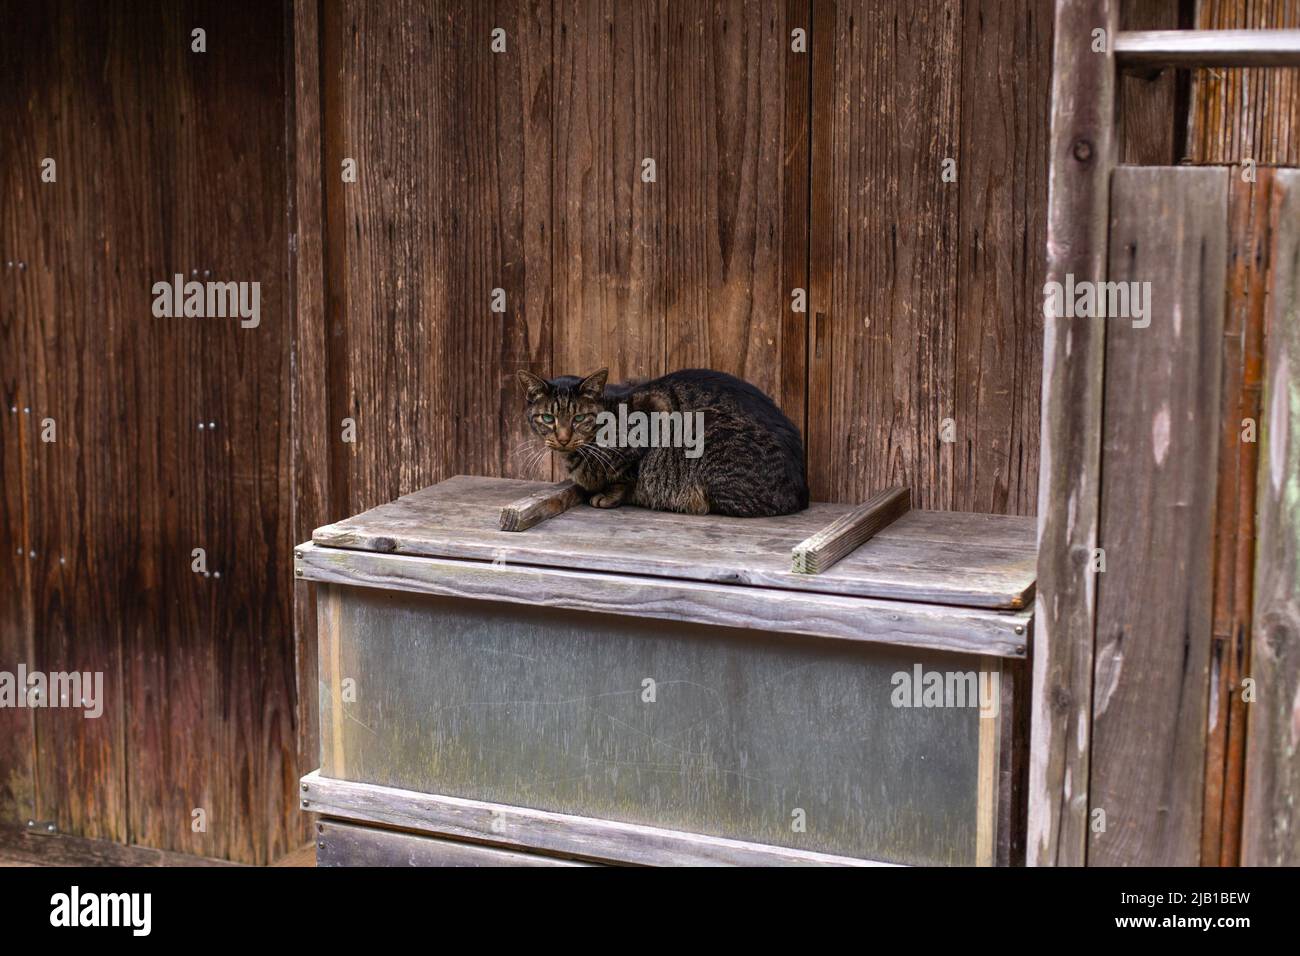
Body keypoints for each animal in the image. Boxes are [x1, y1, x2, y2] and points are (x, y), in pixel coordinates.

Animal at [514, 366, 800, 515]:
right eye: (548, 418)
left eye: (579, 418)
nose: (563, 439)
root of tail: (801, 492)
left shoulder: (655, 413)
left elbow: (626, 476)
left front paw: (608, 495)